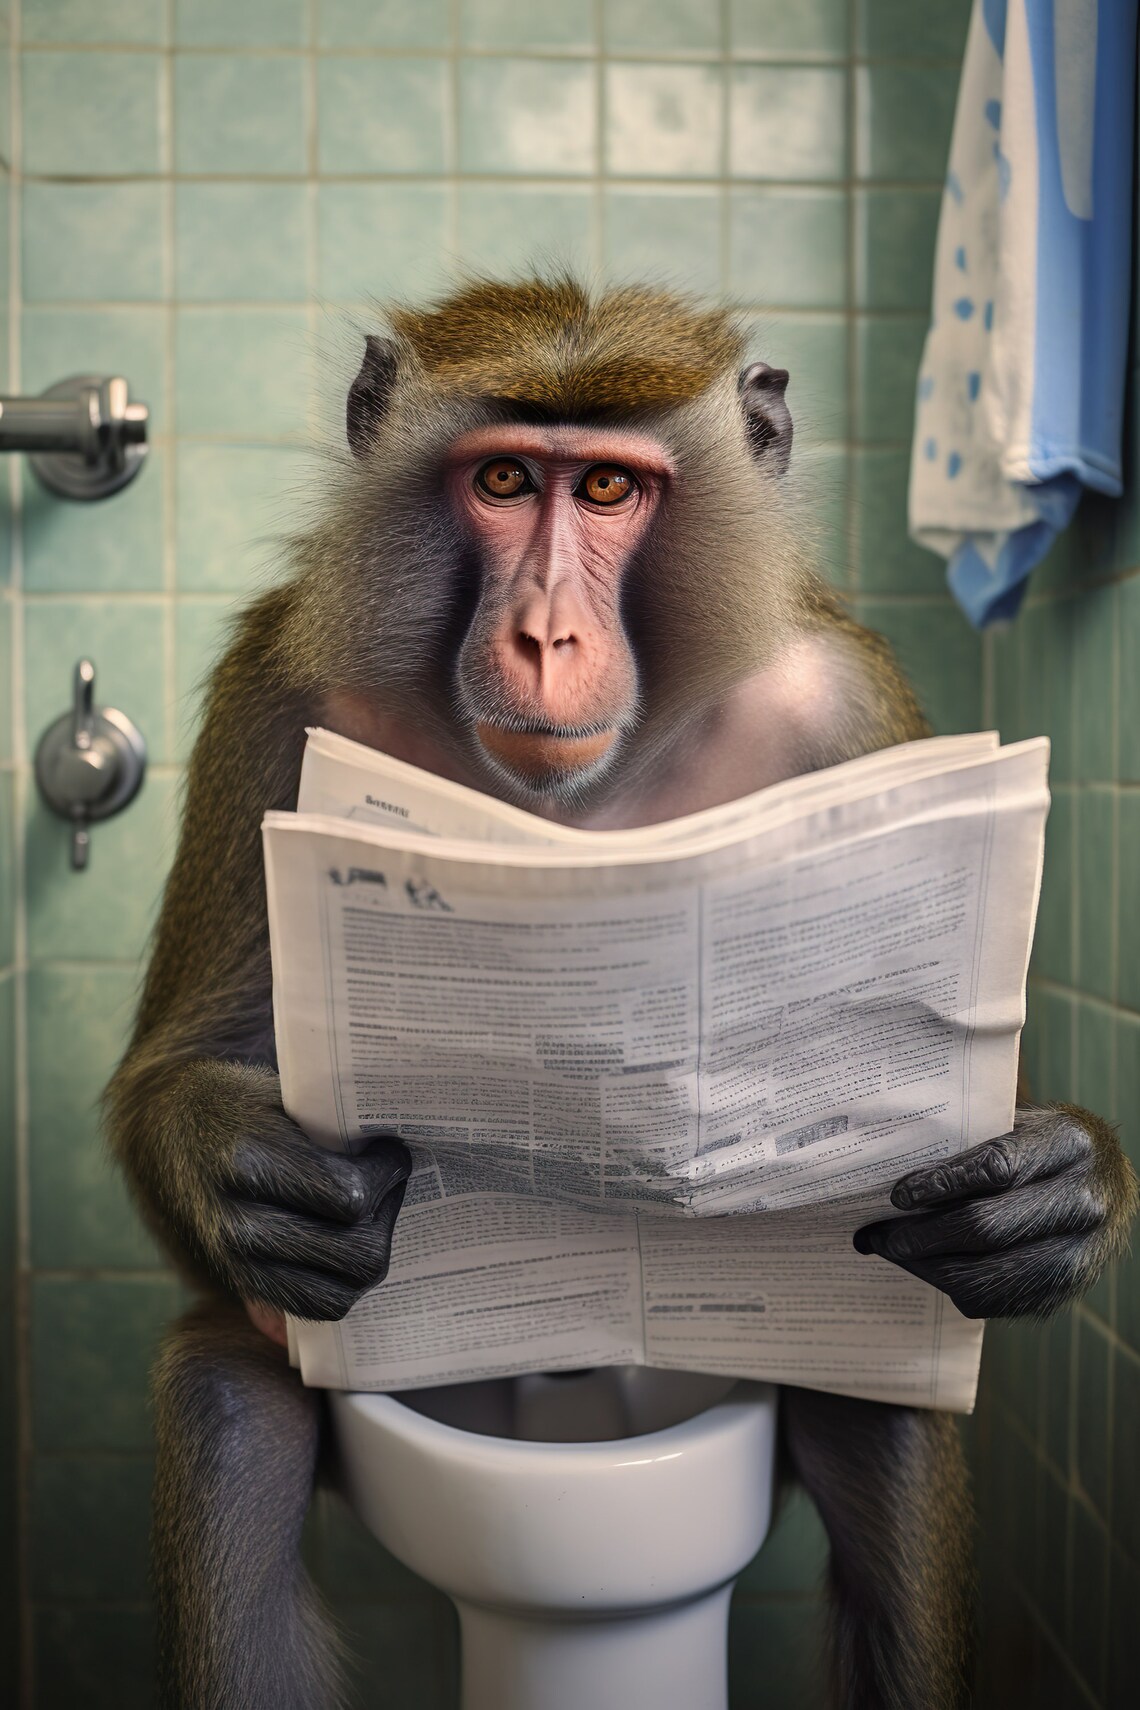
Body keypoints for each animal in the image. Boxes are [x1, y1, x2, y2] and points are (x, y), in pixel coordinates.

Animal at [104, 278, 1137, 1710]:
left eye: (605, 487)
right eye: (501, 479)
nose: (546, 634)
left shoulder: (849, 707)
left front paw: (1054, 1188)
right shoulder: (279, 683)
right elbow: (180, 1058)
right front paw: (259, 1183)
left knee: (880, 1409)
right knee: (228, 1407)